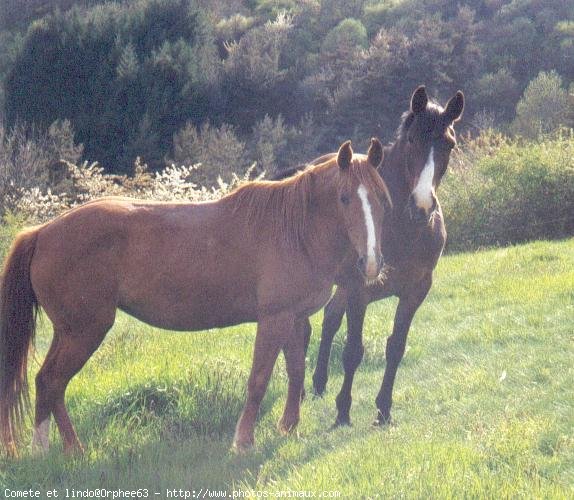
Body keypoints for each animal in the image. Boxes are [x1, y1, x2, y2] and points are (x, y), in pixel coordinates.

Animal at [0, 138, 392, 458]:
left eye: (381, 198)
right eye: (344, 198)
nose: (371, 263)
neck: (294, 229)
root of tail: (42, 232)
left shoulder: (295, 319)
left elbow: (295, 373)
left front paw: (288, 429)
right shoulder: (274, 319)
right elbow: (259, 379)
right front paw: (244, 442)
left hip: (68, 332)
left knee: (45, 382)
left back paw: (45, 450)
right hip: (84, 331)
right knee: (53, 381)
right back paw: (70, 450)